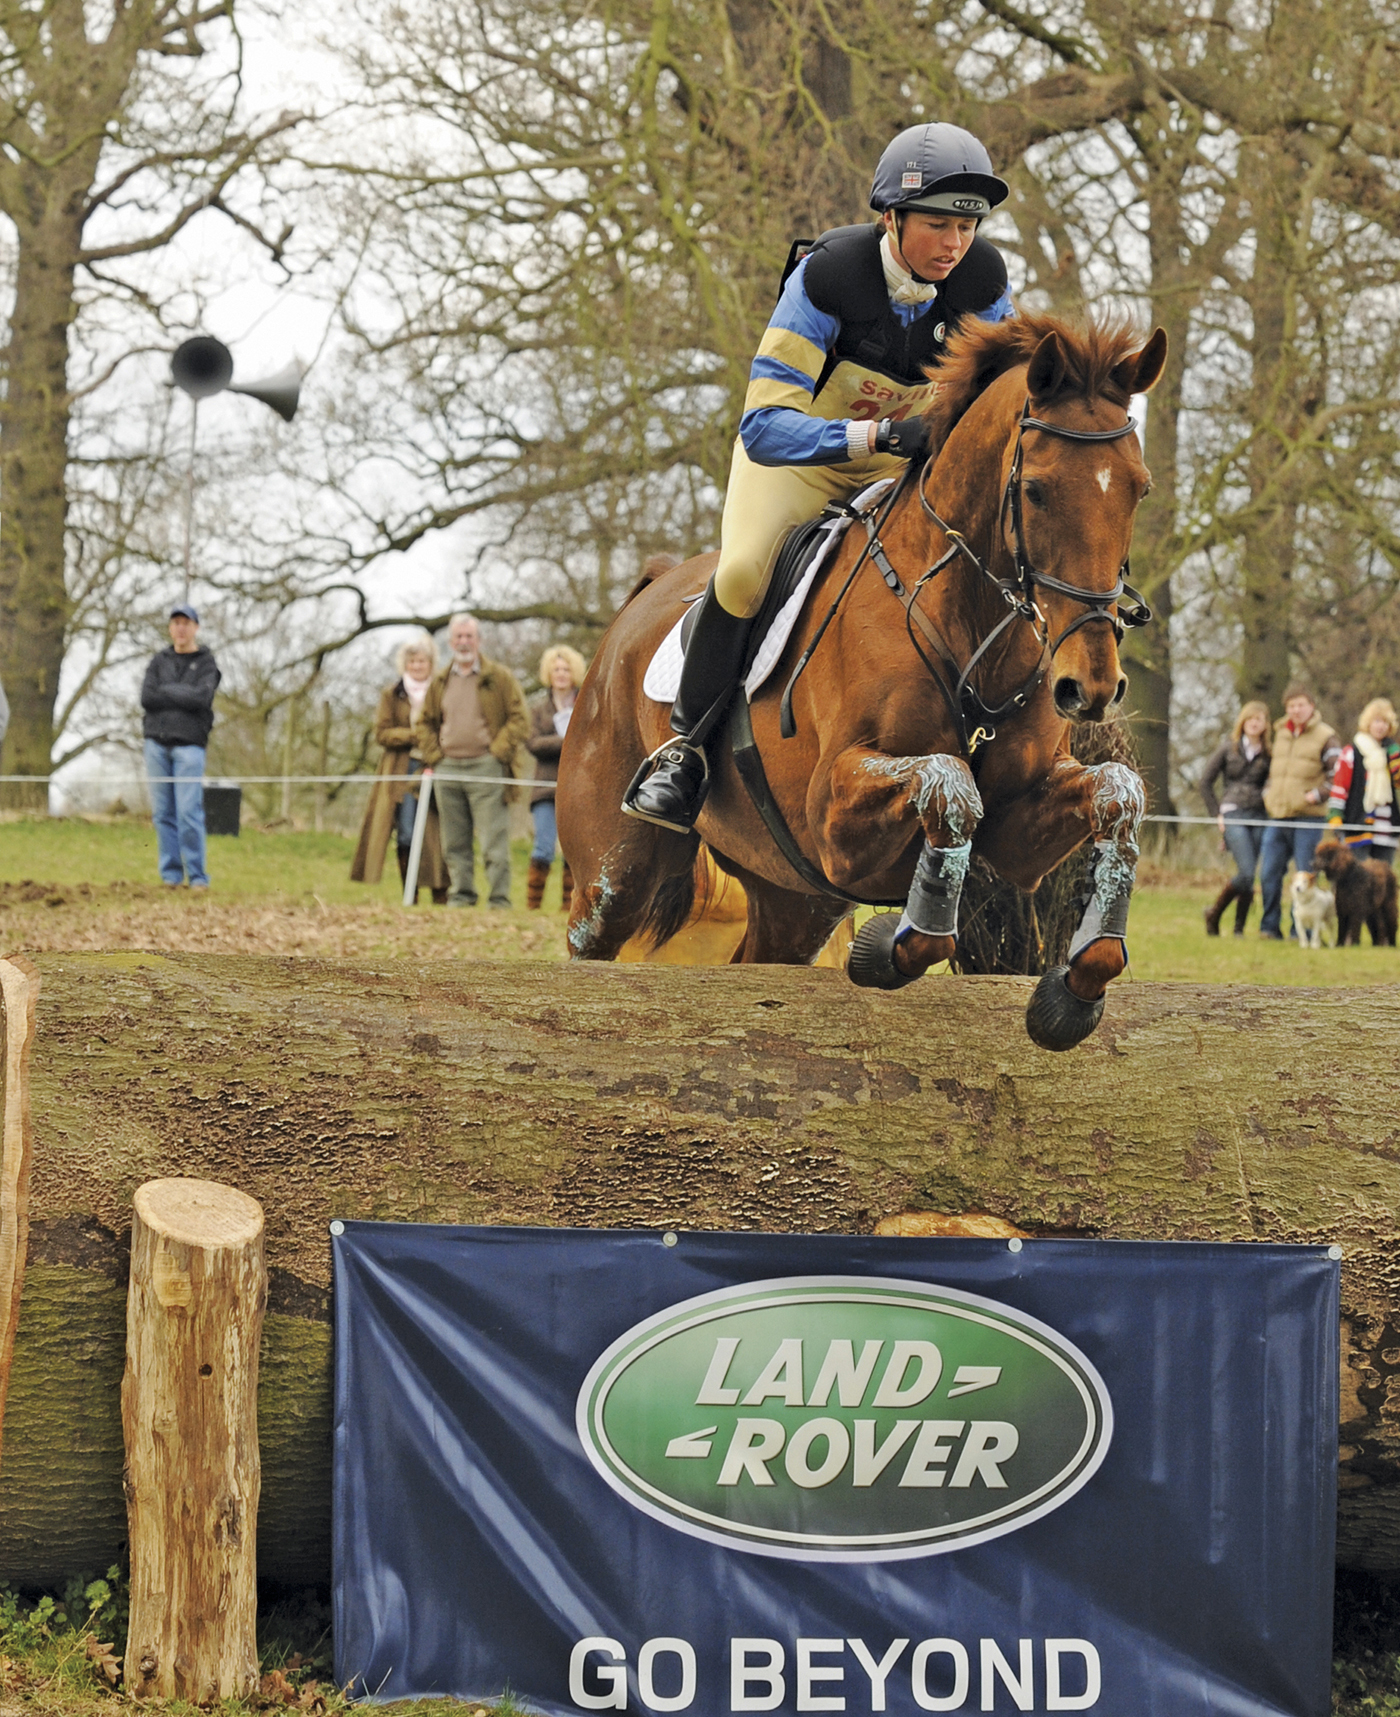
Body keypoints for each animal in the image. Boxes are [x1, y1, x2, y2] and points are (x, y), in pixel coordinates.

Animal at [560, 317, 1174, 1050]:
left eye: (1139, 488)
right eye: (1037, 489)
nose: (1091, 687)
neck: (971, 627)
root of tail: (639, 603)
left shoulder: (1018, 837)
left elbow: (1118, 790)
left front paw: (1076, 987)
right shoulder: (833, 814)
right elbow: (949, 782)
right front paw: (889, 946)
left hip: (795, 896)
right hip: (614, 873)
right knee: (590, 940)